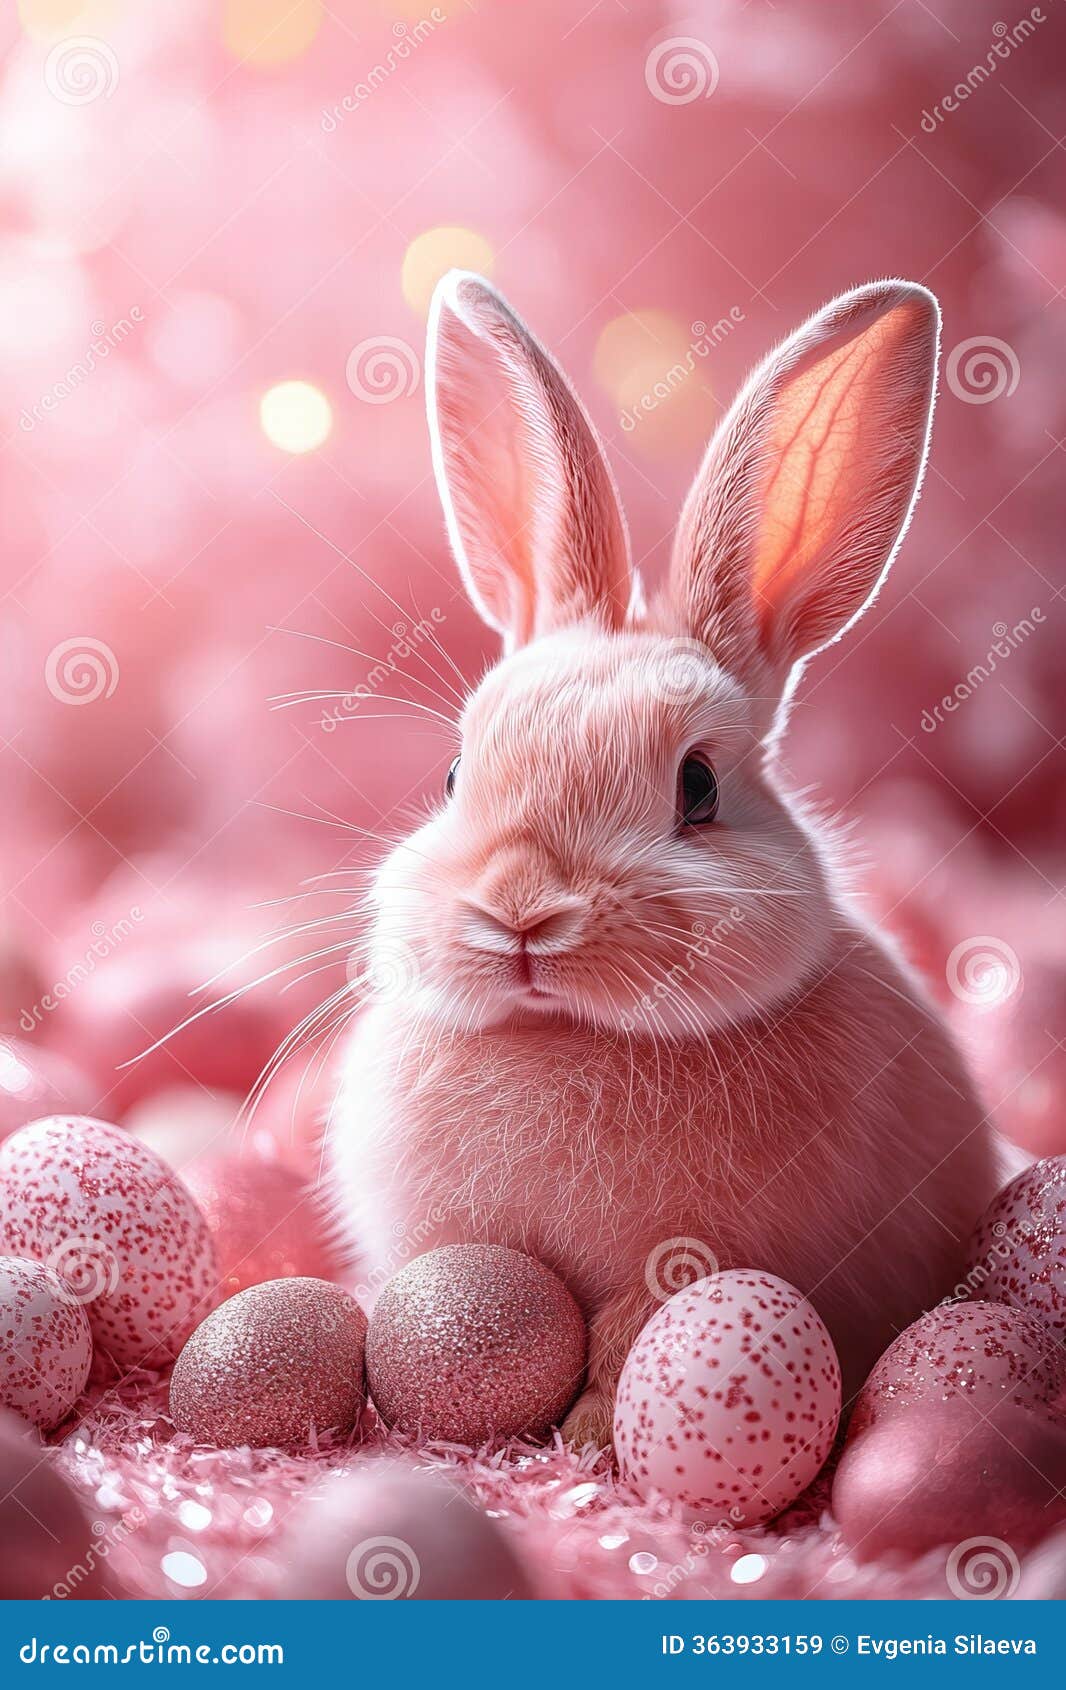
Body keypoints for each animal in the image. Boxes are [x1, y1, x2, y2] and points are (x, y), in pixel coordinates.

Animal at [328, 270, 999, 1450]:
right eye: (454, 775)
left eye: (698, 789)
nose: (520, 910)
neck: (565, 1036)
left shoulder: (693, 1259)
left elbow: (631, 1337)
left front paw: (596, 1435)